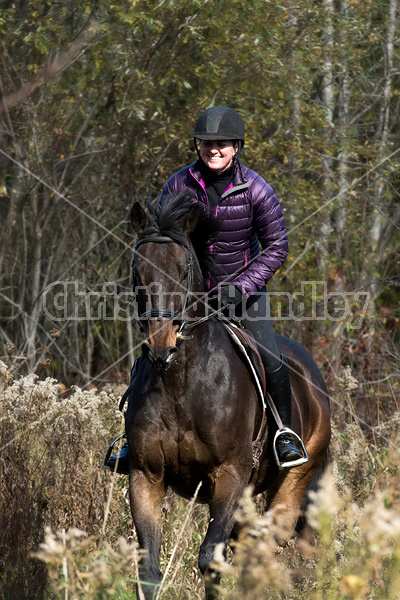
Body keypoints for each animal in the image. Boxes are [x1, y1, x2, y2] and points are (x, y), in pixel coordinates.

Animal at [126, 195, 332, 596]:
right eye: (136, 271)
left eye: (184, 269)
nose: (161, 344)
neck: (182, 383)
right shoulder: (145, 475)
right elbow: (150, 572)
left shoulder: (230, 474)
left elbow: (210, 559)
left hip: (291, 487)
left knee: (266, 549)